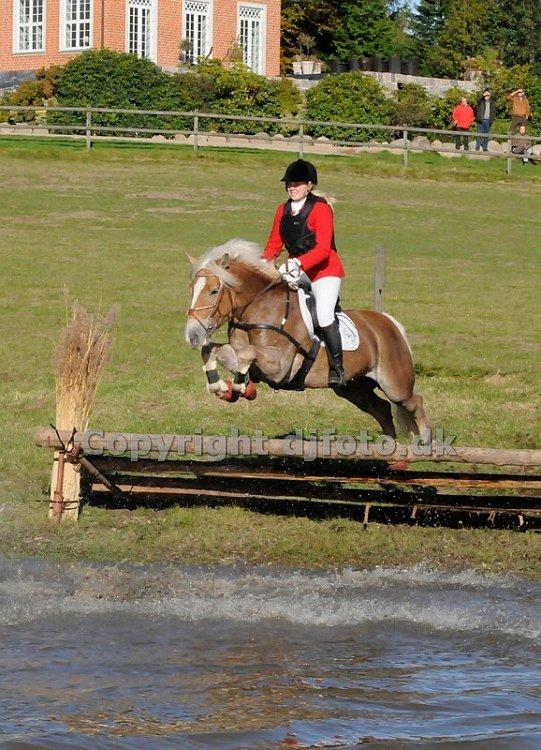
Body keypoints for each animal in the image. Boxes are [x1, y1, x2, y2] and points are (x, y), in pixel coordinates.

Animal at [184, 239, 428, 440]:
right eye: (191, 290)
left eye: (213, 291)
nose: (192, 335)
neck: (258, 307)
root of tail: (390, 323)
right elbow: (213, 351)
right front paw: (220, 386)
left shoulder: (281, 366)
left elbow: (247, 353)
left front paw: (239, 387)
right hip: (353, 388)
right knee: (383, 410)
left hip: (394, 384)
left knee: (415, 402)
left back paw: (425, 444)